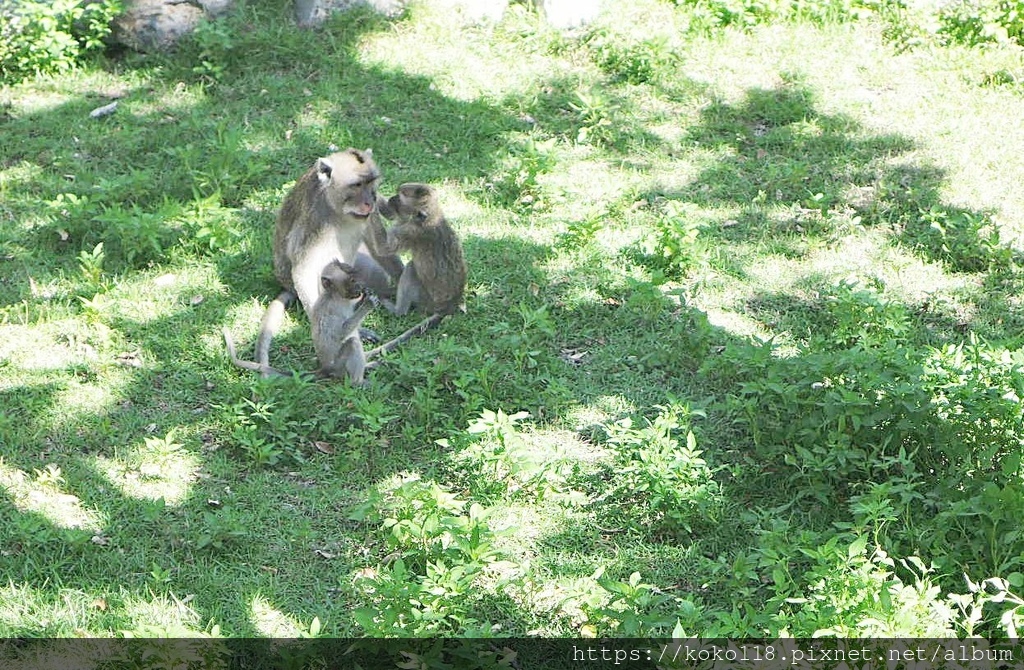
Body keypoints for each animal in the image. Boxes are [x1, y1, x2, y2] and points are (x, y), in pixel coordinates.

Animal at [362, 181, 466, 364]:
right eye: (397, 194)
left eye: (400, 198)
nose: (392, 198)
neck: (430, 216)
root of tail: (450, 305)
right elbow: (389, 214)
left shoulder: (409, 232)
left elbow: (383, 248)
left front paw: (371, 208)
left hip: (426, 300)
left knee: (411, 269)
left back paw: (396, 310)